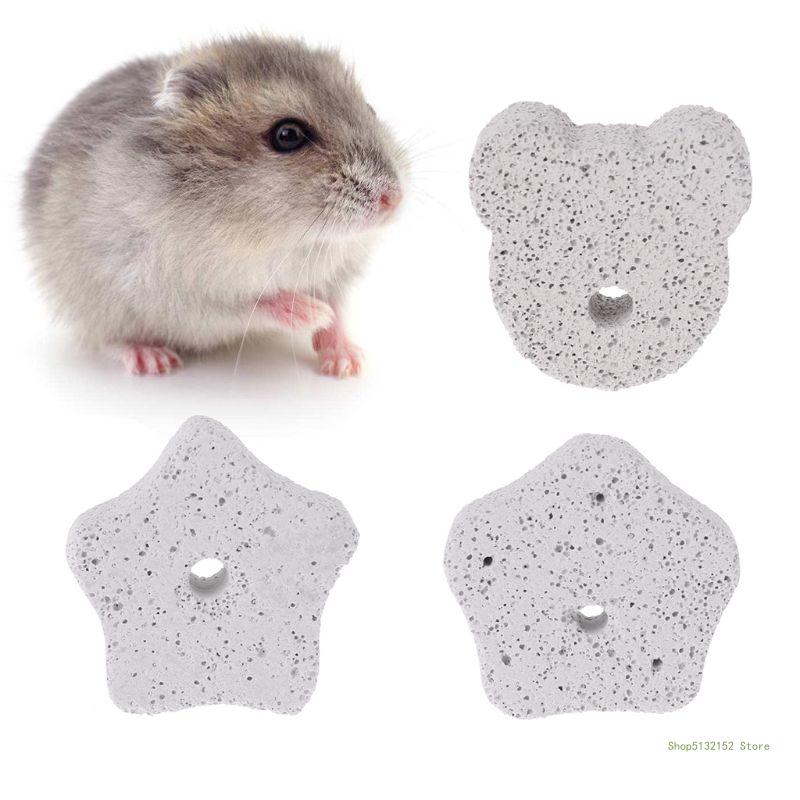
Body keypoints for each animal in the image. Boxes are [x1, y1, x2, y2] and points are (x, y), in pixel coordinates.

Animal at [22, 35, 406, 377]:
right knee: (109, 338)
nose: (394, 199)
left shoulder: (338, 272)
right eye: (288, 135)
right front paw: (312, 312)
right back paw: (152, 359)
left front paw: (347, 363)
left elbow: (337, 307)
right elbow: (250, 303)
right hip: (93, 302)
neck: (284, 240)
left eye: (369, 109)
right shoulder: (178, 290)